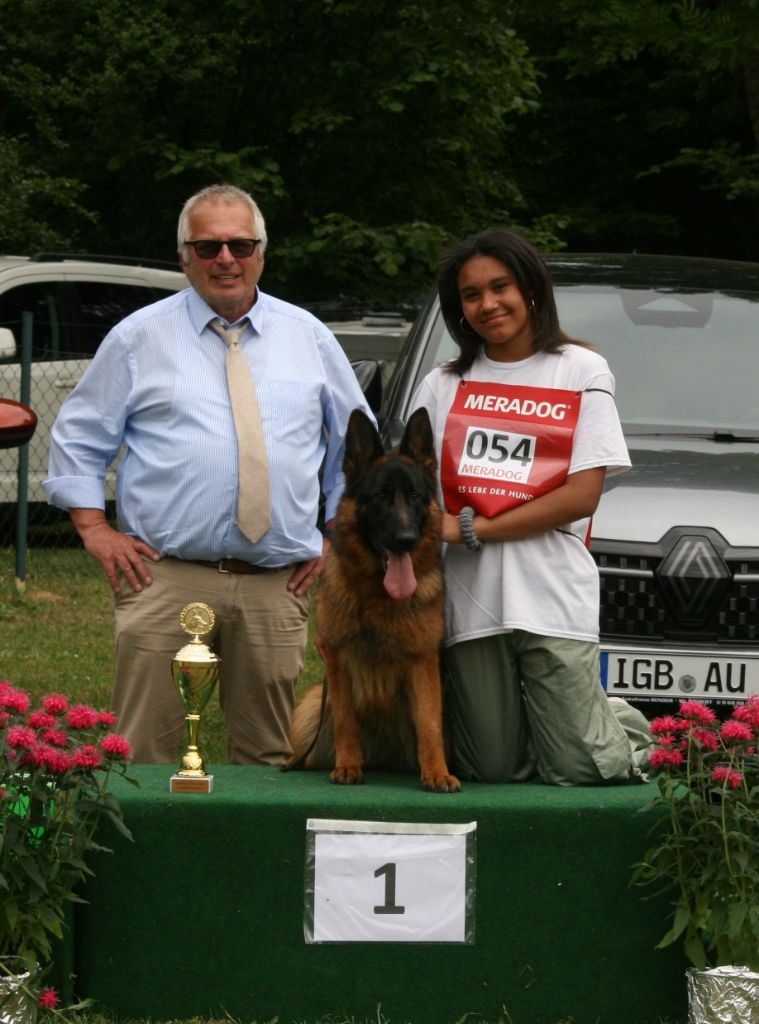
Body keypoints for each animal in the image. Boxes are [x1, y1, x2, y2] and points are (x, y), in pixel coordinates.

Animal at [284, 407, 458, 790]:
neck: (380, 597)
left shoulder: (423, 662)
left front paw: (437, 773)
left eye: (414, 496)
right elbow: (346, 719)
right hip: (312, 705)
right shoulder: (338, 662)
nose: (406, 540)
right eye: (380, 497)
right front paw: (348, 766)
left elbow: (430, 725)